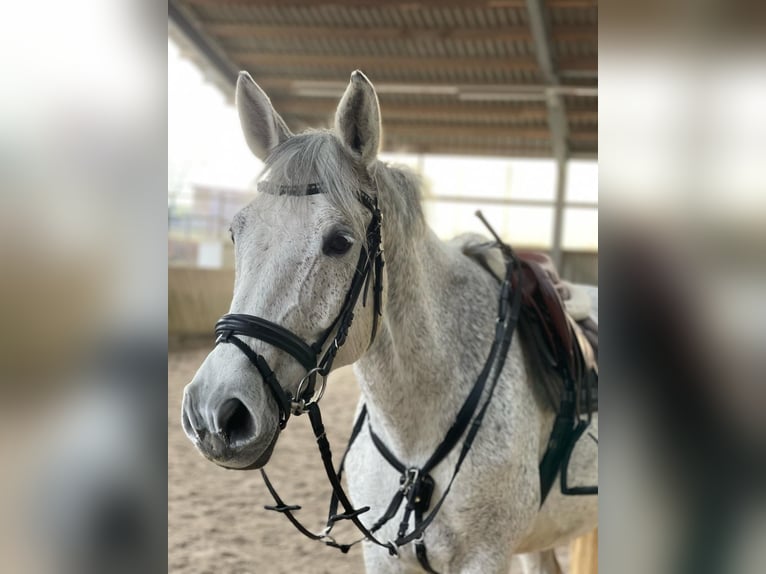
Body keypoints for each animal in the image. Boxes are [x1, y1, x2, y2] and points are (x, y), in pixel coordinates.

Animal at [182, 70, 600, 572]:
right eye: (235, 232)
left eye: (340, 241)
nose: (214, 412)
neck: (416, 432)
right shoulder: (386, 557)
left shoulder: (485, 556)